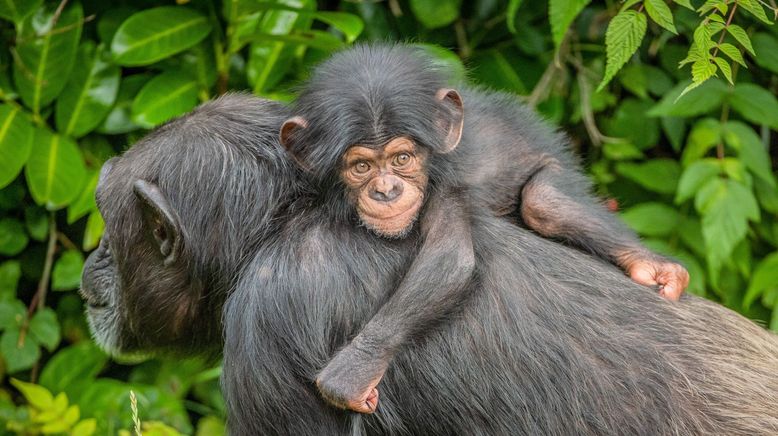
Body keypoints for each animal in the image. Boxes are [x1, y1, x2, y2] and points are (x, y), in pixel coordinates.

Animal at [276, 44, 688, 412]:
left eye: (402, 158)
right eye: (361, 166)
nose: (386, 190)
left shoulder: (444, 186)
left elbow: (449, 261)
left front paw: (353, 370)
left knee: (543, 204)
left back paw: (647, 263)